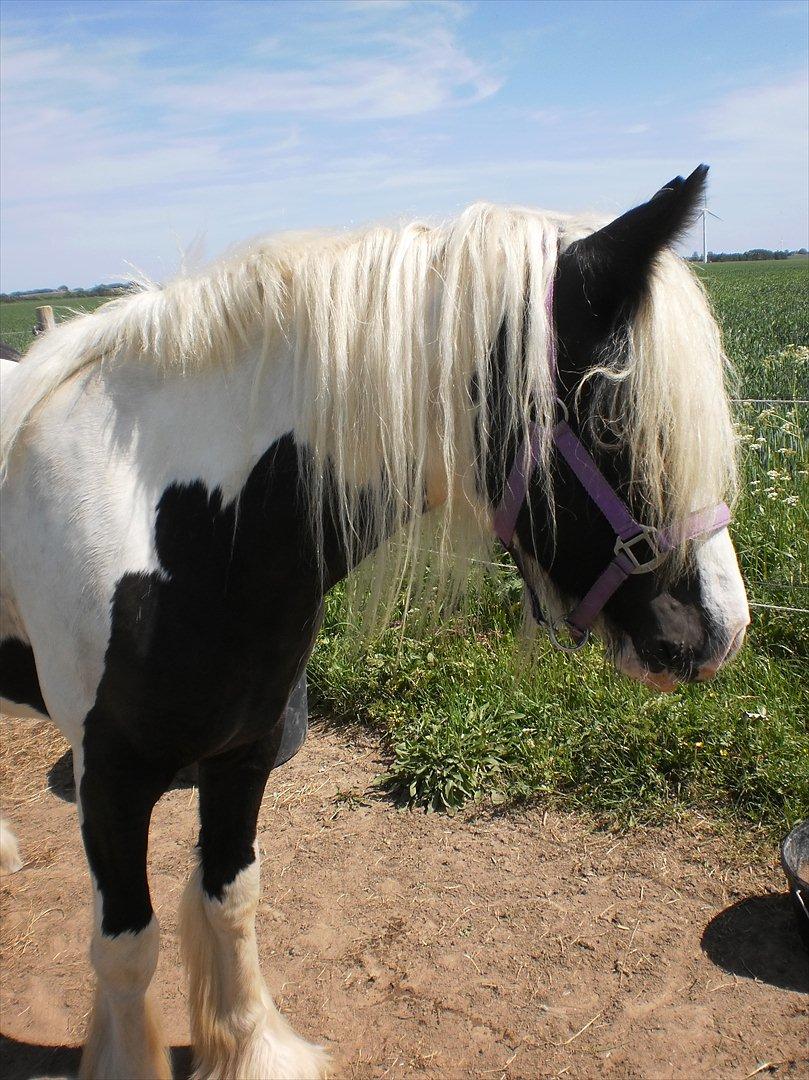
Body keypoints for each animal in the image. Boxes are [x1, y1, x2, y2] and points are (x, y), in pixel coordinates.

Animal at [0, 164, 747, 1075]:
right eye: (611, 415)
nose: (720, 631)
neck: (161, 518)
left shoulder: (243, 751)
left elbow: (231, 897)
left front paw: (252, 1050)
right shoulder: (109, 777)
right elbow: (126, 950)